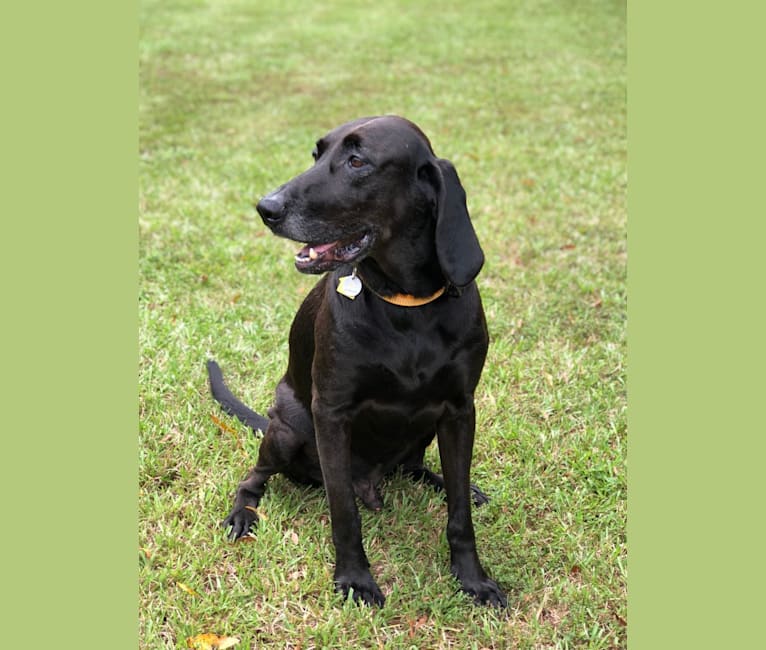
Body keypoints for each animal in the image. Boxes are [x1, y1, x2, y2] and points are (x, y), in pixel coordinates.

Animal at [210, 114, 508, 604]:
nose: (266, 207)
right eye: (316, 155)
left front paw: (472, 578)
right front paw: (354, 579)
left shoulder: (460, 410)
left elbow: (460, 511)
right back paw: (243, 515)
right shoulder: (331, 413)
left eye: (357, 161)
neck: (407, 307)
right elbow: (344, 512)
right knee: (253, 478)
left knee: (419, 469)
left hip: (426, 428)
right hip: (286, 429)